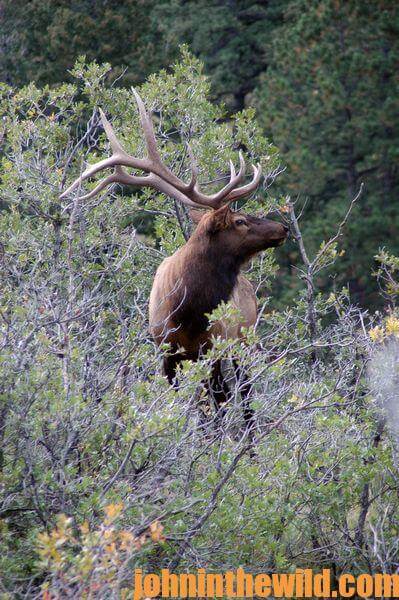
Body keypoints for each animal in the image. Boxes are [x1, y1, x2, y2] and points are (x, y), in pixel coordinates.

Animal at [61, 89, 290, 426]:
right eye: (239, 221)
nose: (282, 227)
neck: (188, 310)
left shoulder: (212, 348)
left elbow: (215, 409)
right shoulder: (166, 352)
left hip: (244, 340)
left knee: (244, 399)